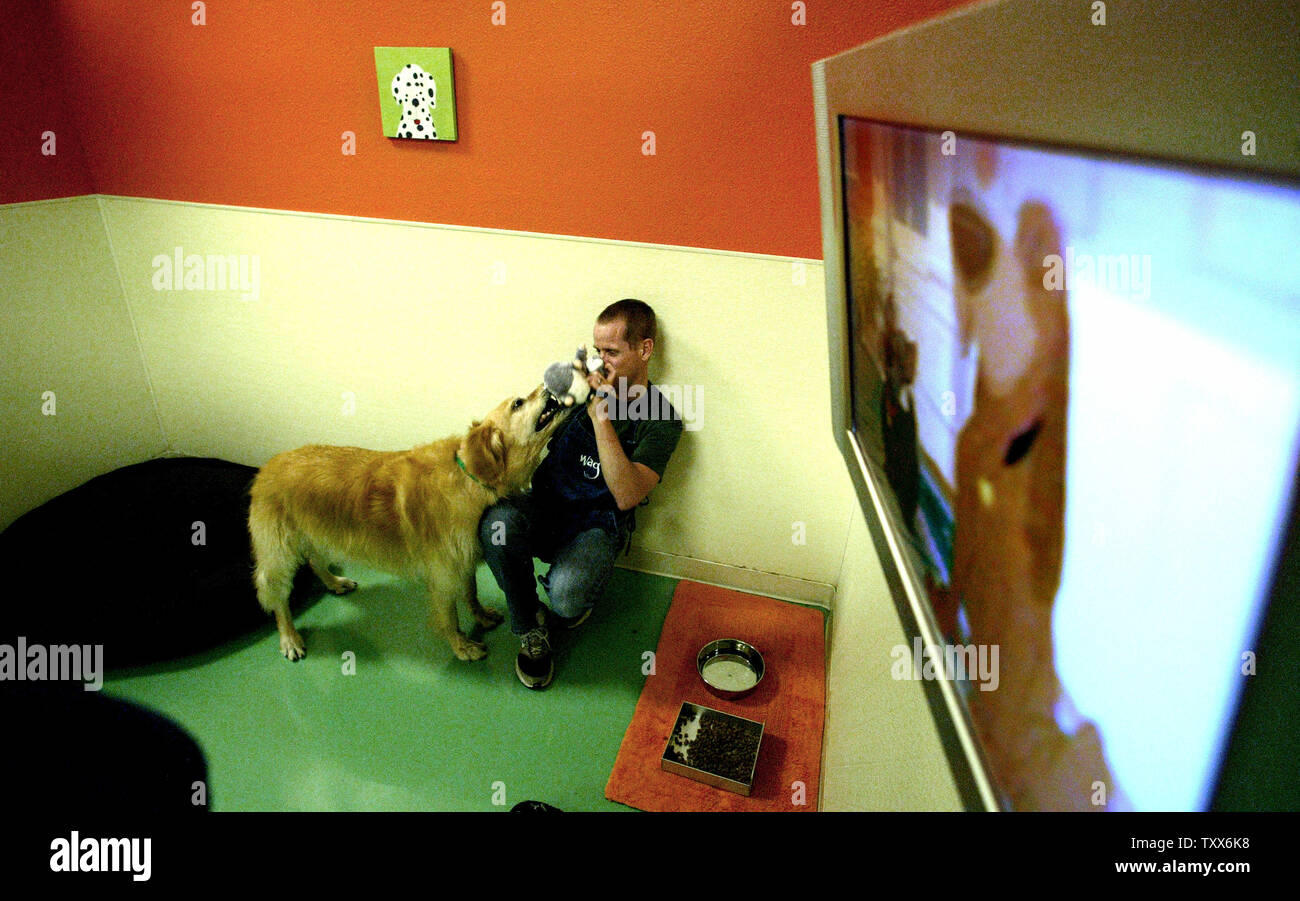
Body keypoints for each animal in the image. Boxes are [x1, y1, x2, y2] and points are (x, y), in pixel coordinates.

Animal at [246, 384, 569, 660]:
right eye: (518, 403)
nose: (549, 385)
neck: (470, 476)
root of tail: (267, 466)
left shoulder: (463, 562)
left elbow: (471, 593)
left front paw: (481, 616)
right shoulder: (443, 575)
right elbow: (449, 617)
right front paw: (462, 646)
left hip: (321, 533)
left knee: (314, 561)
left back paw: (335, 582)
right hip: (279, 556)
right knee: (278, 600)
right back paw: (289, 638)